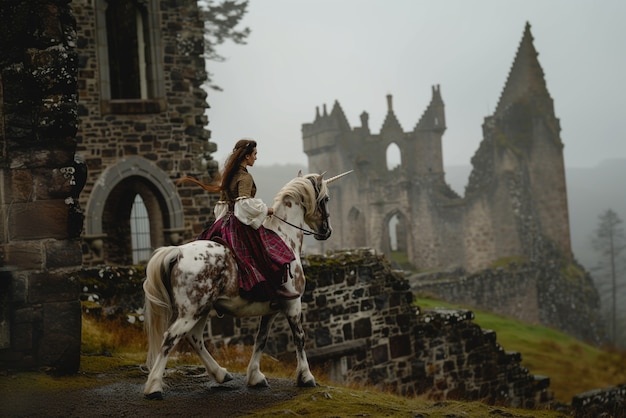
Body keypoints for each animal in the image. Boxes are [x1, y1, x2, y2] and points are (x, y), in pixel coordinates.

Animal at [141, 170, 352, 398]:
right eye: (326, 199)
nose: (327, 231)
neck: (285, 237)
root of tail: (178, 252)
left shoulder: (271, 309)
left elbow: (261, 338)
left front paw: (255, 376)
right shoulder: (293, 304)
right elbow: (299, 337)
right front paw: (306, 377)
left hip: (200, 310)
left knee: (194, 338)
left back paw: (220, 374)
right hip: (192, 311)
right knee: (171, 338)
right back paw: (154, 387)